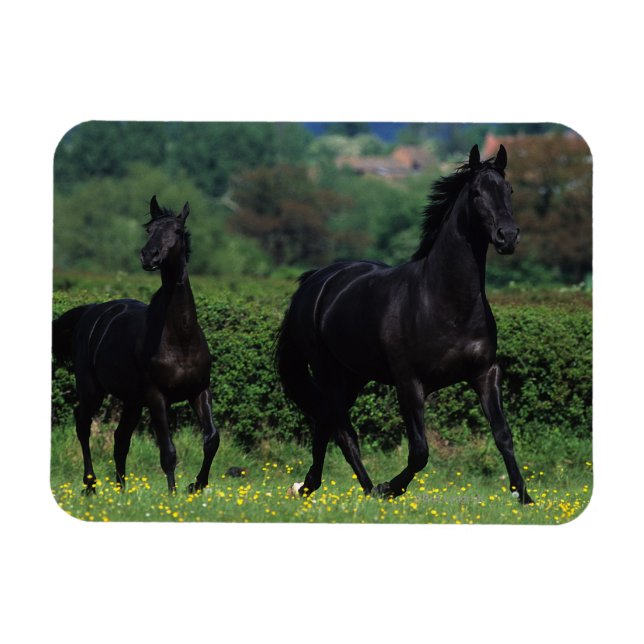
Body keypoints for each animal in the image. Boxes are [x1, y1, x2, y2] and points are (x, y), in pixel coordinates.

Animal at [52, 196, 220, 493]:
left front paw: (195, 486)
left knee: (120, 439)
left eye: (177, 230)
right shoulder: (156, 397)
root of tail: (91, 312)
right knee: (83, 424)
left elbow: (212, 439)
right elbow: (168, 451)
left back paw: (121, 490)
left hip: (131, 401)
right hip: (92, 390)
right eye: (149, 230)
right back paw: (90, 485)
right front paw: (173, 495)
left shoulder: (199, 391)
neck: (180, 339)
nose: (149, 255)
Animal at [275, 144, 534, 504]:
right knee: (342, 432)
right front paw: (390, 488)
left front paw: (525, 497)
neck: (445, 303)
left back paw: (310, 486)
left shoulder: (485, 374)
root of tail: (314, 281)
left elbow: (503, 435)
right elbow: (420, 452)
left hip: (352, 376)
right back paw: (368, 489)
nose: (507, 236)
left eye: (509, 190)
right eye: (477, 193)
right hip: (328, 372)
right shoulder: (409, 383)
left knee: (325, 425)